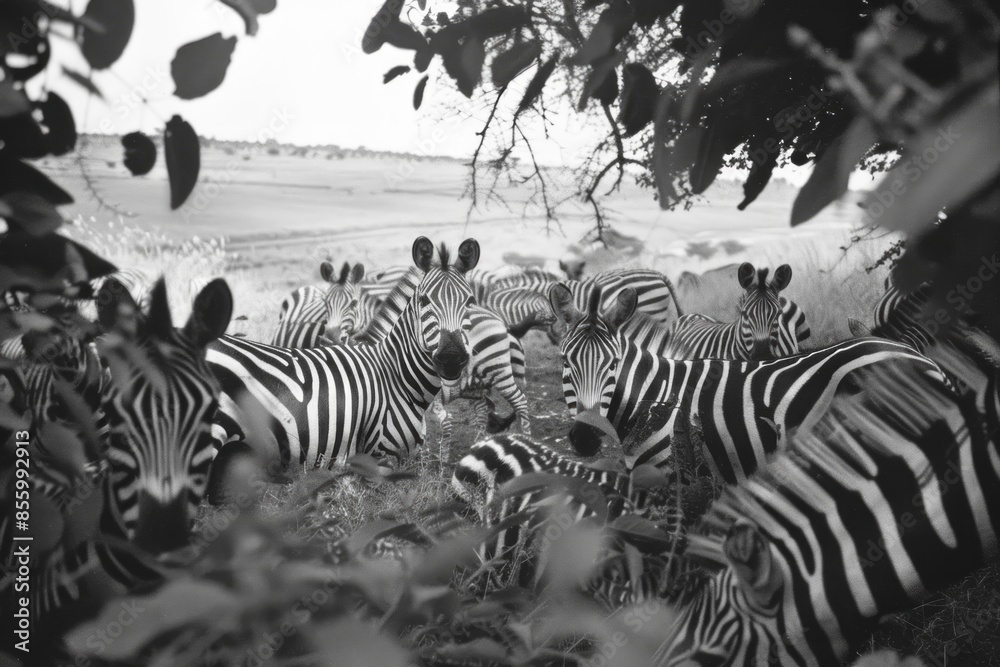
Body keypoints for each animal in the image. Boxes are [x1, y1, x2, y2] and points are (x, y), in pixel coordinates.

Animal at [549, 284, 952, 484]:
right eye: (565, 361)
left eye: (613, 364)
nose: (585, 437)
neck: (655, 396)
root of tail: (919, 357)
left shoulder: (676, 478)